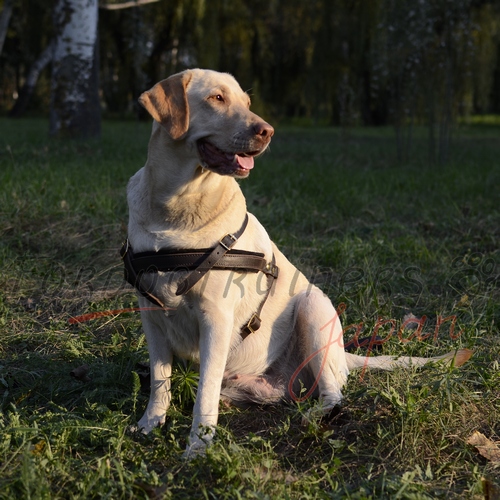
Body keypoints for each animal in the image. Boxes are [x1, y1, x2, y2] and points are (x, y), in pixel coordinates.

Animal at [123, 68, 470, 456]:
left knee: (333, 393)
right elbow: (160, 380)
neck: (177, 208)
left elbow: (204, 393)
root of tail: (344, 354)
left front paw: (199, 445)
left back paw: (313, 416)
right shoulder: (151, 315)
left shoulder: (216, 318)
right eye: (217, 98)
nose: (267, 131)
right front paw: (151, 423)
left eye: (247, 102)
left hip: (313, 308)